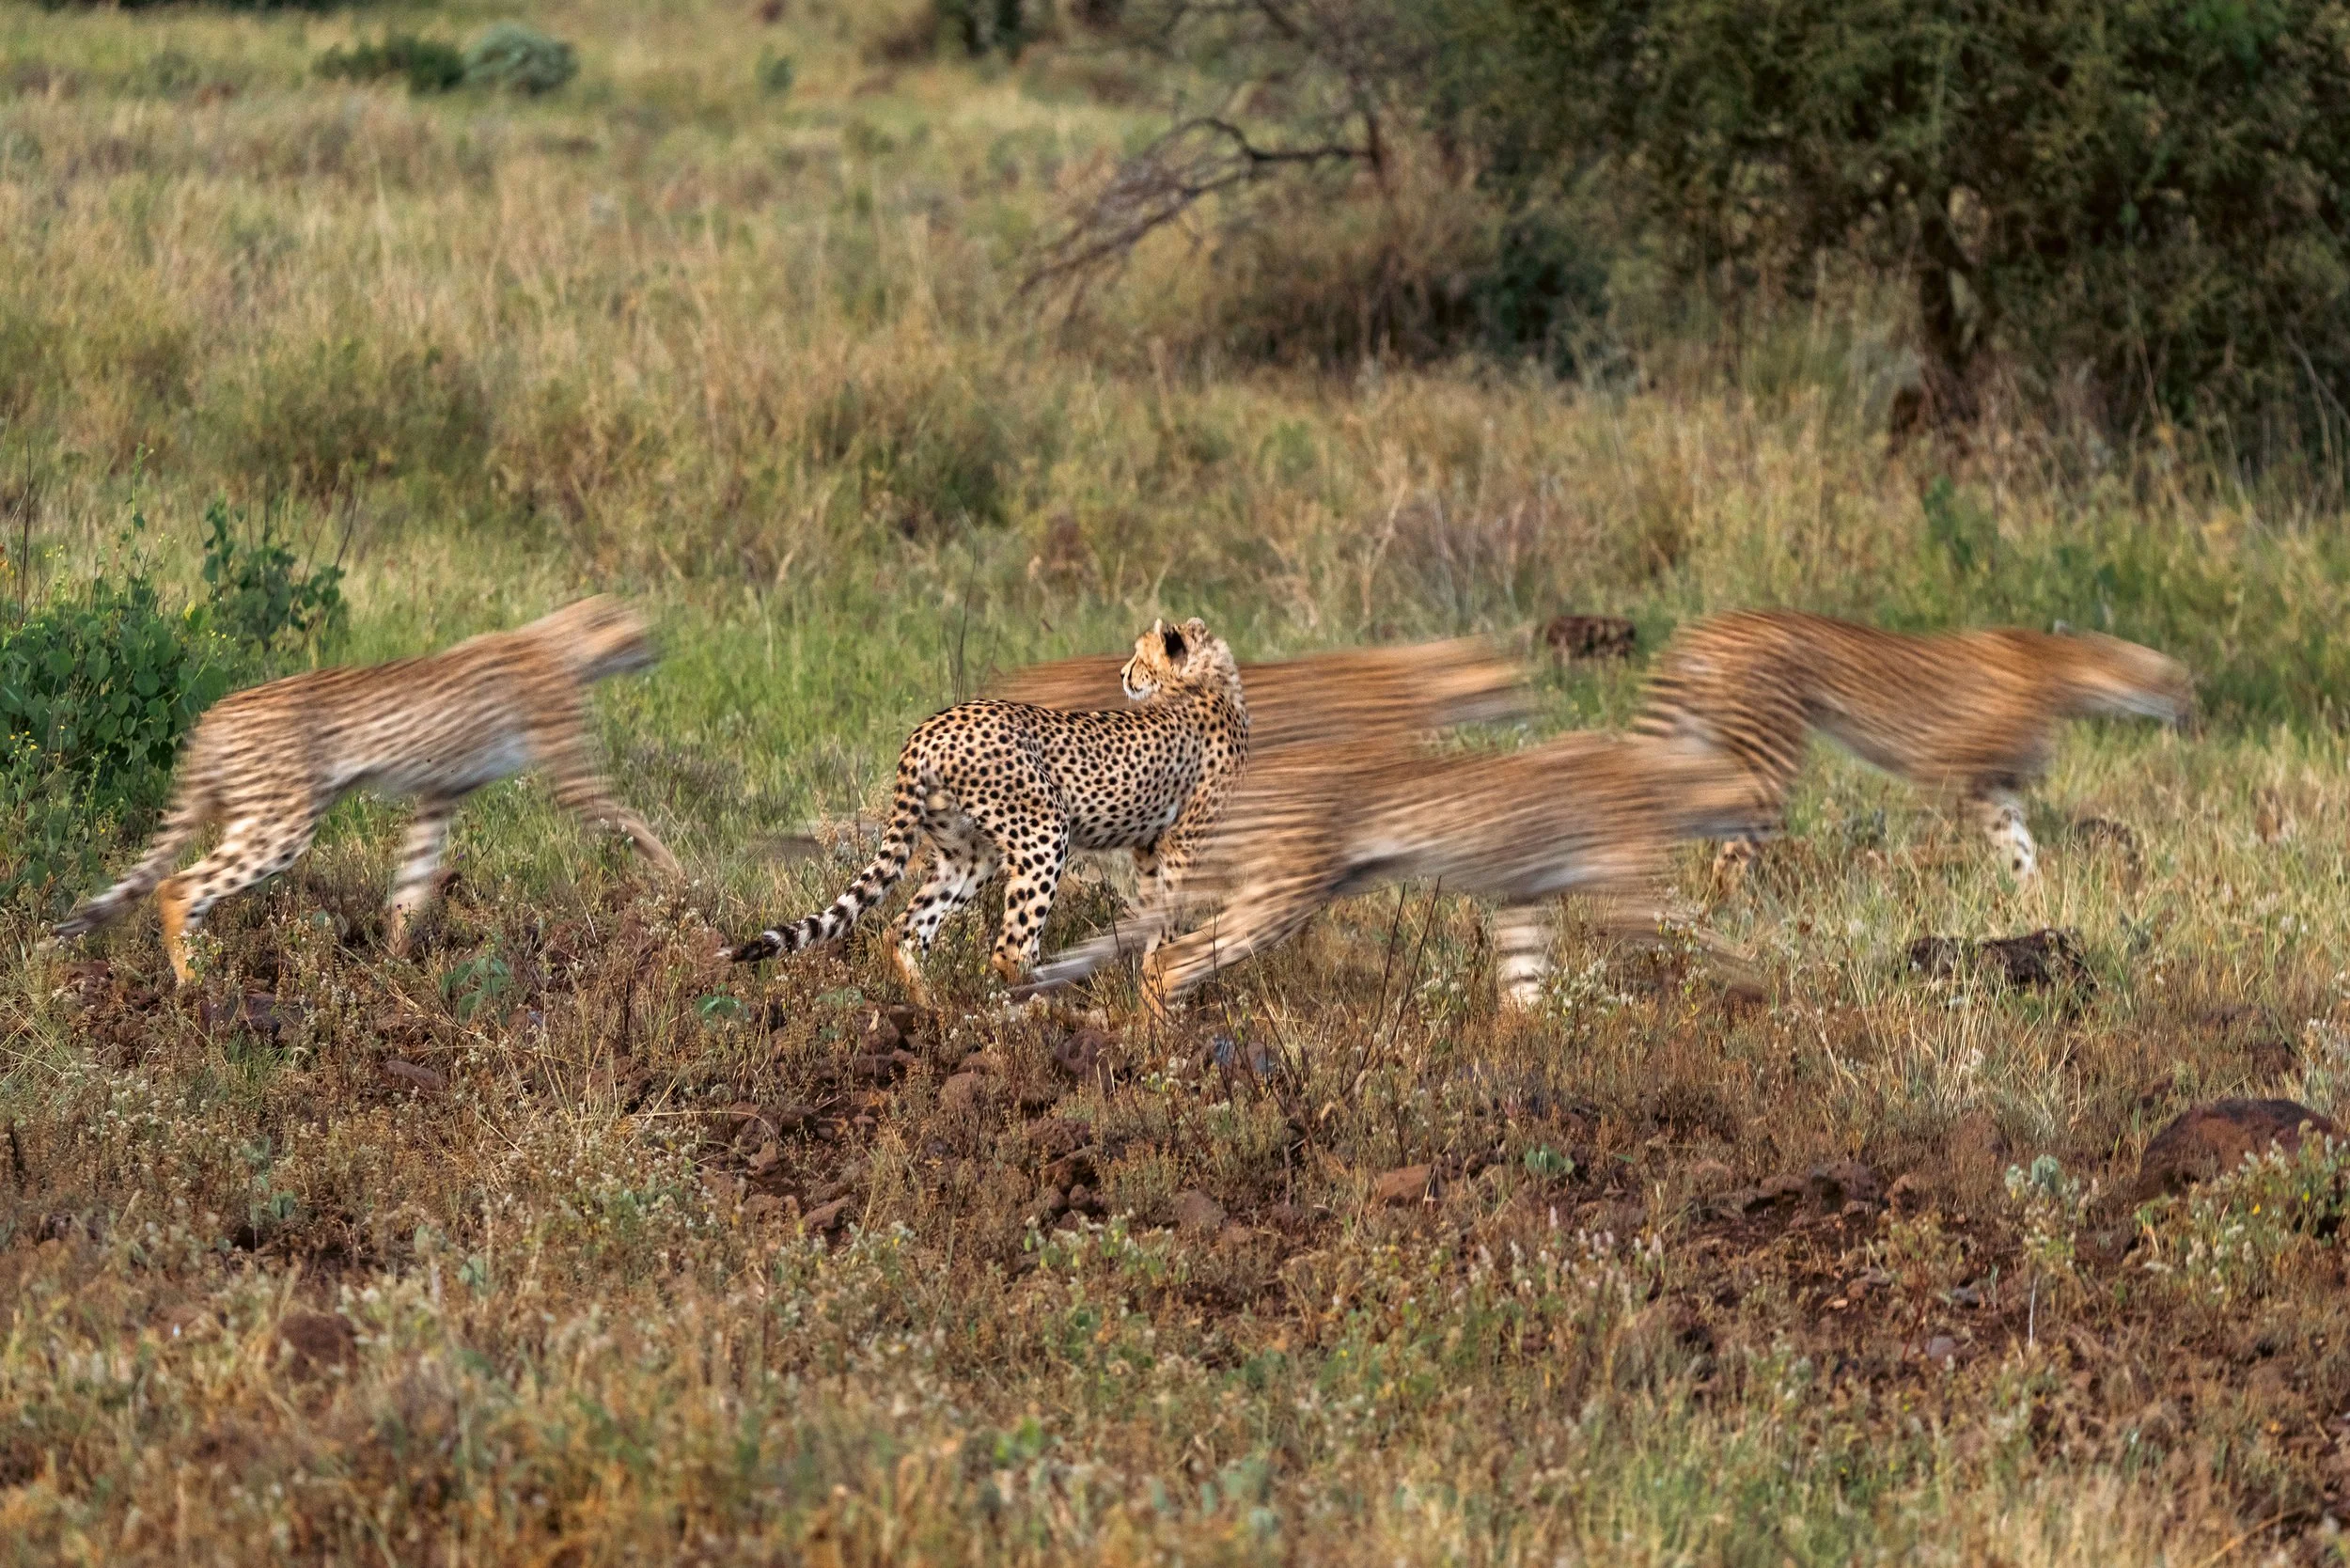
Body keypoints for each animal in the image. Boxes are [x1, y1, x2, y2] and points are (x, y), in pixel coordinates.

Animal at [51, 595, 683, 985]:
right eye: (640, 628)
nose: (659, 649)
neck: (565, 646)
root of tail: (215, 711)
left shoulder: (441, 792)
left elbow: (412, 886)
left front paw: (396, 967)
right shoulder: (573, 781)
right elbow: (633, 823)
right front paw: (687, 883)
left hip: (254, 815)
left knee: (183, 885)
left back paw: (201, 972)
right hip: (283, 825)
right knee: (178, 886)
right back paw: (195, 986)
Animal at [730, 616, 1248, 1006]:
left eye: (1141, 656)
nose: (1124, 674)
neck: (1206, 681)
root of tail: (931, 726)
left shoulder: (1150, 846)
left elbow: (1157, 911)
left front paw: (1154, 978)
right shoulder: (1182, 842)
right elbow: (1172, 914)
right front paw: (1167, 990)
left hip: (969, 854)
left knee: (906, 930)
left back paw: (934, 1010)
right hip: (1045, 831)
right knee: (1010, 950)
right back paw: (1053, 1007)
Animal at [1013, 730, 1770, 1015]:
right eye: (1748, 782)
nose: (1770, 814)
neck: (1664, 777)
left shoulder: (1523, 896)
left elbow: (1523, 980)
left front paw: (1528, 1044)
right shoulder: (1631, 901)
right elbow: (1707, 937)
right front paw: (1769, 986)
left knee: (1156, 955)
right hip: (1283, 896)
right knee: (1169, 961)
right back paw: (1166, 1050)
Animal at [1632, 610, 2193, 885]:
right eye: (2173, 679)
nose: (2192, 698)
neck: (2058, 665)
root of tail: (1702, 629)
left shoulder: (1994, 788)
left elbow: (2019, 847)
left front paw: (2036, 904)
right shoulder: (1952, 771)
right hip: (1765, 761)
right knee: (1720, 843)